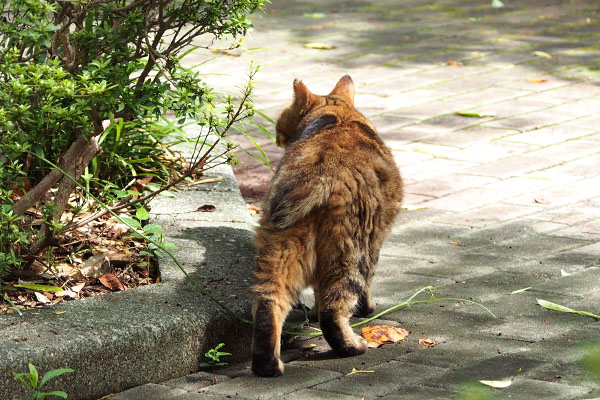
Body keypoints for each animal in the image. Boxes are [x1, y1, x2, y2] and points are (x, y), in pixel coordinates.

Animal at [251, 76, 400, 378]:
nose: (277, 137)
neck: (337, 115)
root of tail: (322, 172)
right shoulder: (375, 243)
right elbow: (365, 289)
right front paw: (368, 309)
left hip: (281, 249)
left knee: (269, 303)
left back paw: (268, 366)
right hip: (352, 252)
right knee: (333, 310)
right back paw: (353, 346)